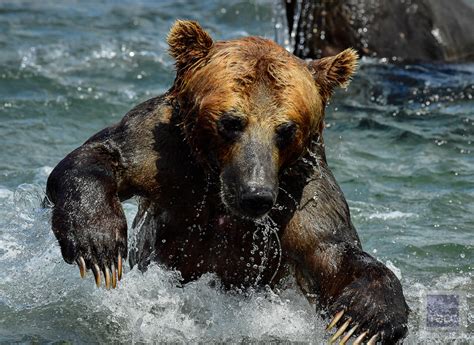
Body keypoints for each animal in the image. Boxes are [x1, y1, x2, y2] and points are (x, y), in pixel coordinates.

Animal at [47, 20, 408, 342]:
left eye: (285, 129)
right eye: (232, 121)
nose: (255, 194)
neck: (215, 184)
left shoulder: (302, 194)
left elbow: (332, 251)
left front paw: (366, 318)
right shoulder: (160, 151)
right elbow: (99, 157)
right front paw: (98, 242)